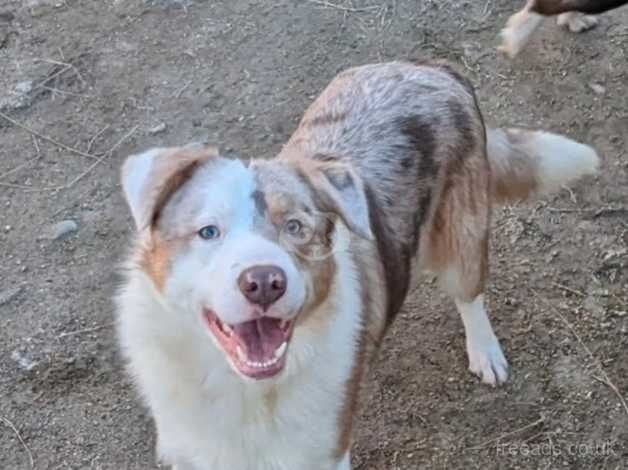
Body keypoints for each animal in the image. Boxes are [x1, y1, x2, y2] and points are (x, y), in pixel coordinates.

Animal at [115, 60, 600, 468]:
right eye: (208, 231)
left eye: (296, 227)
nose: (264, 282)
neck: (244, 389)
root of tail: (431, 67)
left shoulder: (324, 451)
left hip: (462, 237)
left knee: (469, 294)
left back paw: (485, 352)